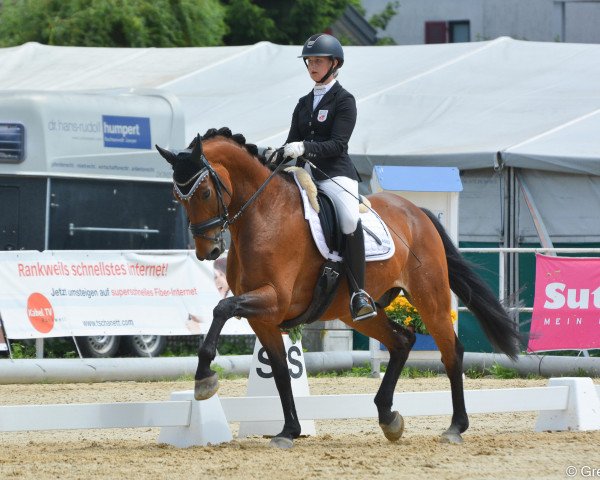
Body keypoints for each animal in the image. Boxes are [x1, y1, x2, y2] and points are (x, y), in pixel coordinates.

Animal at [156, 127, 520, 450]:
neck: (264, 216)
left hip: (429, 296)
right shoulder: (263, 318)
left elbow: (222, 308)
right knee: (402, 340)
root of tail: (417, 212)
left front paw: (204, 378)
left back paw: (455, 427)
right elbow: (280, 371)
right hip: (354, 311)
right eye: (176, 197)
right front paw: (288, 431)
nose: (208, 251)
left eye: (204, 193)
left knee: (451, 351)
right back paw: (389, 418)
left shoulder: (274, 300)